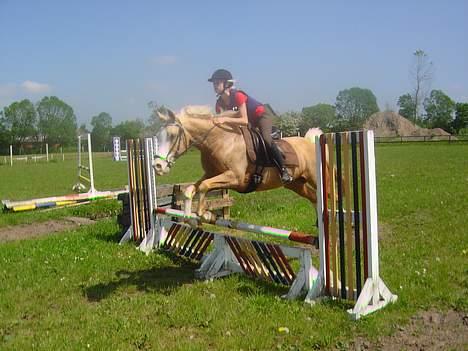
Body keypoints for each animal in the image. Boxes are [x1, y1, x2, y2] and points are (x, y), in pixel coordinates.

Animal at [154, 106, 326, 221]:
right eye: (157, 136)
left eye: (172, 135)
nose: (157, 166)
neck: (219, 140)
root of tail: (309, 142)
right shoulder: (211, 174)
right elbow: (191, 189)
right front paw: (191, 217)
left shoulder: (235, 177)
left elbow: (204, 186)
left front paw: (205, 214)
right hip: (296, 184)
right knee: (314, 198)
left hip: (314, 178)